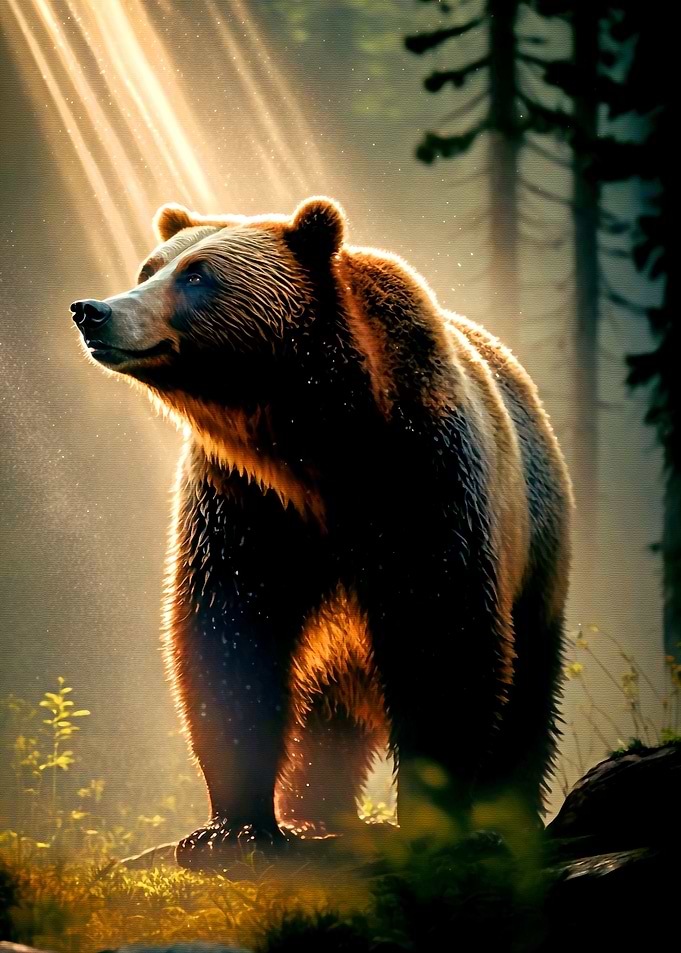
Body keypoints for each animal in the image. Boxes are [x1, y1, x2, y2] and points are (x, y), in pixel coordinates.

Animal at [70, 196, 573, 869]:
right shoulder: (244, 502)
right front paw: (229, 829)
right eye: (149, 268)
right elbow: (229, 635)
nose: (94, 311)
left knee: (528, 685)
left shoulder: (426, 479)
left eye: (197, 275)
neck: (313, 442)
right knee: (329, 707)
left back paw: (508, 814)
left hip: (538, 548)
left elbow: (442, 636)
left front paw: (436, 821)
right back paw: (316, 811)